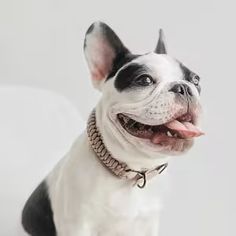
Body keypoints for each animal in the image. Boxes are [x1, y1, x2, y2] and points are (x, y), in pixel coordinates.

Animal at [21, 22, 203, 236]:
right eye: (144, 80)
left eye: (196, 80)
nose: (184, 87)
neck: (134, 171)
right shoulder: (77, 225)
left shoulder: (149, 223)